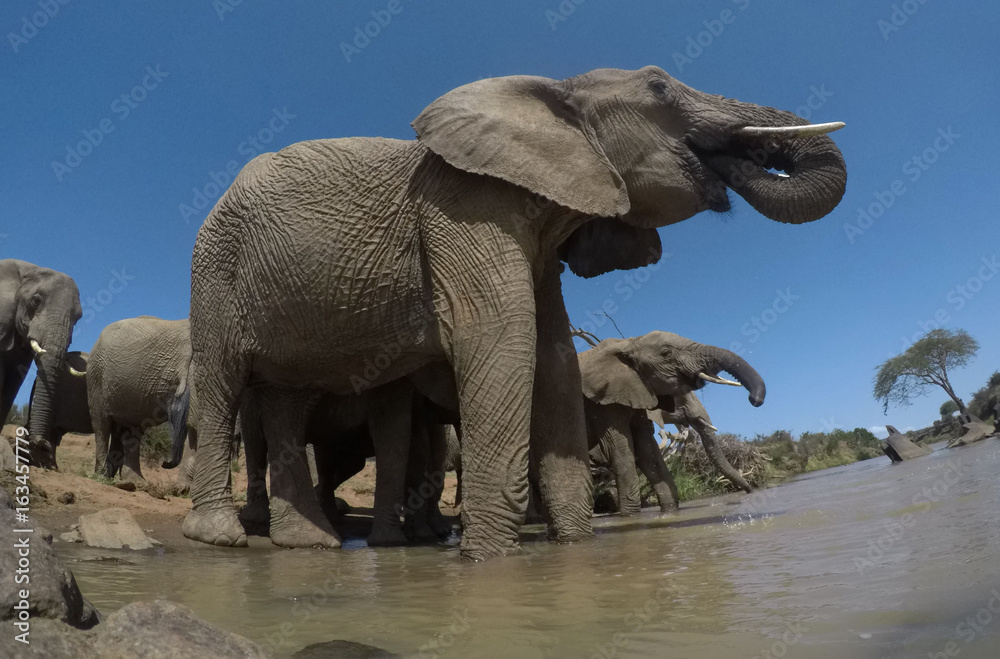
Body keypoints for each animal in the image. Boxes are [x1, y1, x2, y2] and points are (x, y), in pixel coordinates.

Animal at [87, 317, 192, 482]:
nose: (164, 463)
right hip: (96, 376)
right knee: (101, 426)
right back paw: (103, 477)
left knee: (132, 429)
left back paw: (134, 482)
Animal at [579, 331, 765, 516]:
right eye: (666, 353)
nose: (754, 400)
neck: (627, 343)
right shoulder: (601, 402)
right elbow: (620, 451)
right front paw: (630, 516)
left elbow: (647, 450)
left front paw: (669, 513)